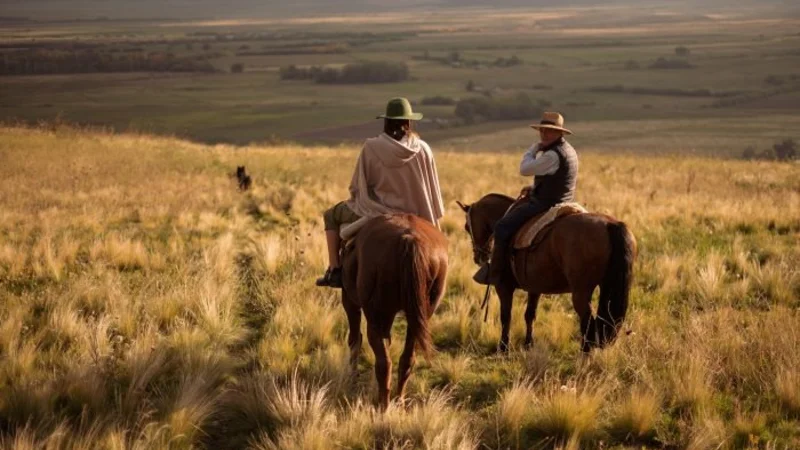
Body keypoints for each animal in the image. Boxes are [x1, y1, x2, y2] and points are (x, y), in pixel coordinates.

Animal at [340, 214, 446, 408]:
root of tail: (409, 238)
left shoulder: (349, 299)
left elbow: (354, 339)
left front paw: (352, 378)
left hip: (377, 314)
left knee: (383, 362)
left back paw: (384, 406)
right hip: (419, 316)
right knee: (406, 359)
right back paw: (399, 401)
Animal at [456, 193, 636, 352]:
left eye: (466, 227)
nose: (478, 257)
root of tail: (611, 225)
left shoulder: (504, 287)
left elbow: (506, 316)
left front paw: (503, 348)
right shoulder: (534, 288)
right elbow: (530, 315)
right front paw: (528, 345)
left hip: (581, 292)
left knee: (588, 322)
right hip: (607, 288)